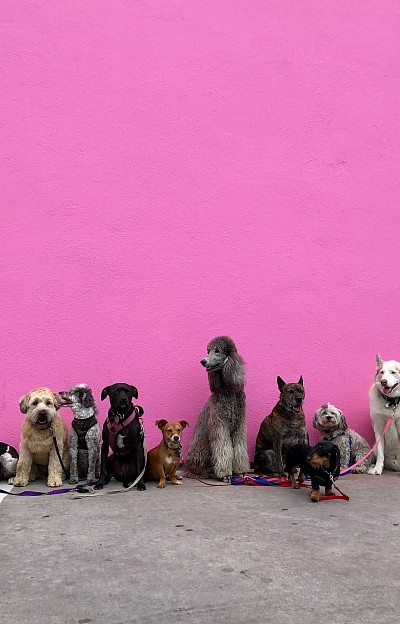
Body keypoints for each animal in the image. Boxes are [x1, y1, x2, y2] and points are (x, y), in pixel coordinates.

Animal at [185, 338, 248, 480]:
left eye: (217, 351)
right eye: (208, 351)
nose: (203, 361)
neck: (228, 391)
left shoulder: (239, 426)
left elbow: (239, 448)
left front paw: (240, 470)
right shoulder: (219, 425)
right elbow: (223, 448)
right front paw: (225, 474)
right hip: (202, 446)